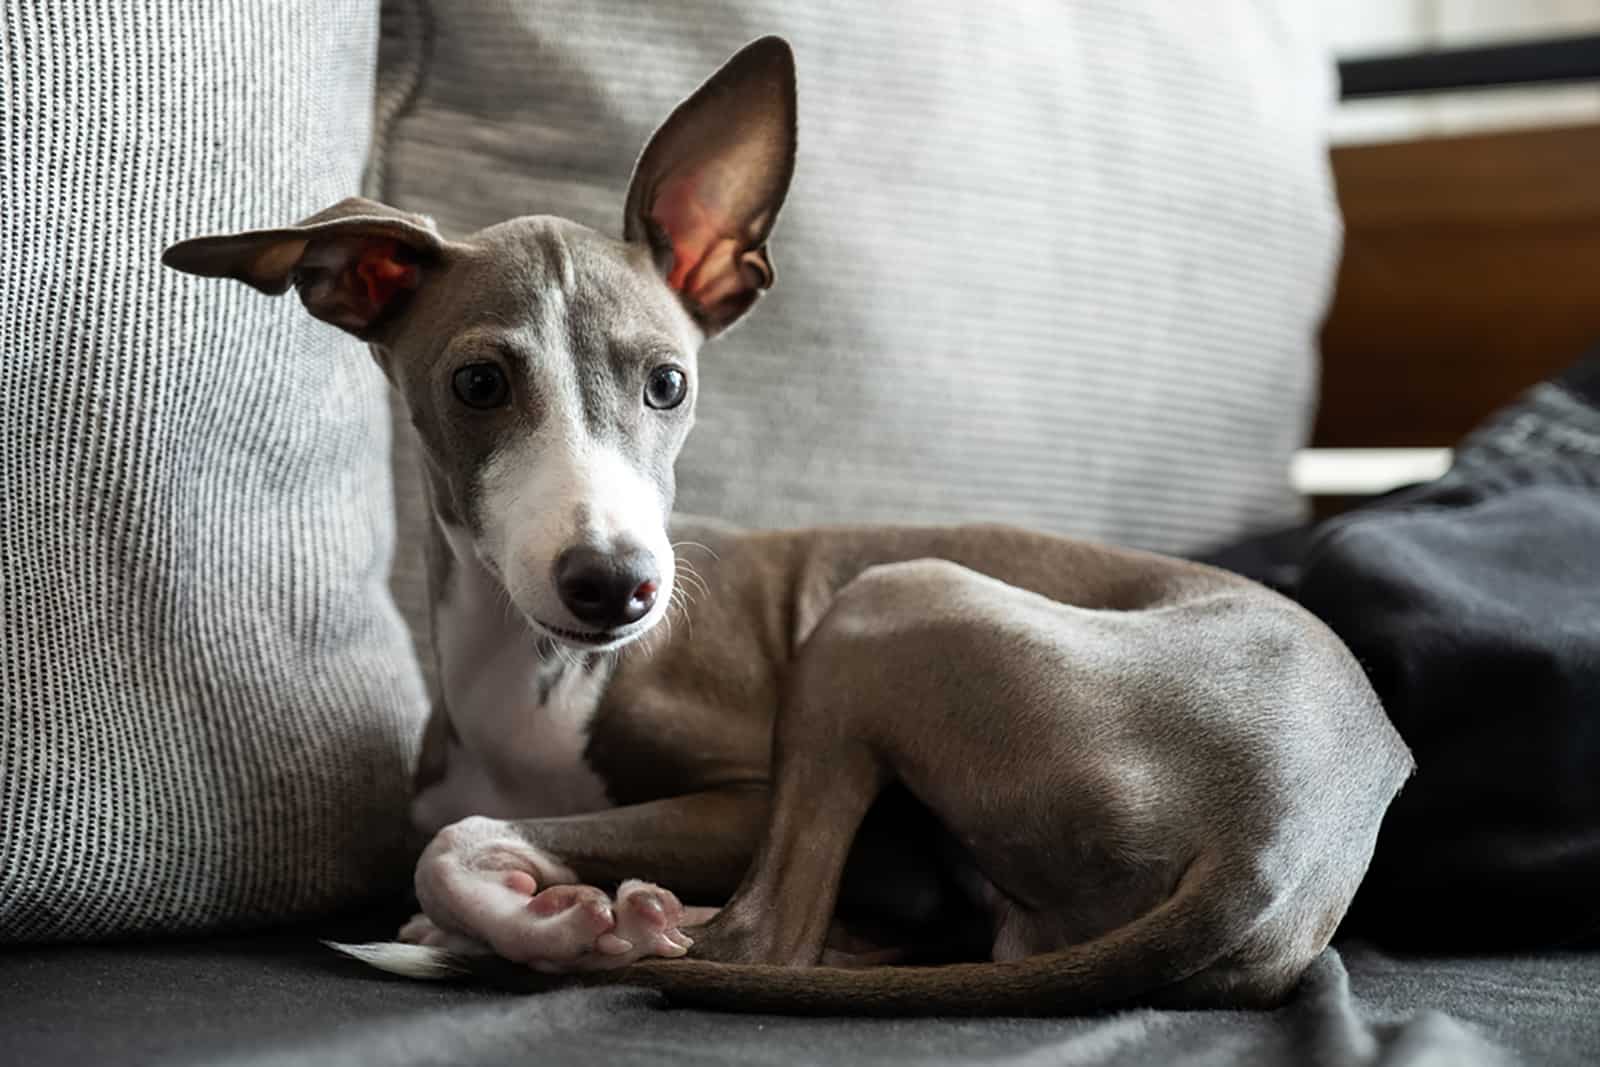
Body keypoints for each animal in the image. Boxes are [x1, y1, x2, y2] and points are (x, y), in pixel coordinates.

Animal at [165, 35, 1414, 1017]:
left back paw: (610, 923)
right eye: (478, 383)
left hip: (886, 598)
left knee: (760, 933)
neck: (528, 685)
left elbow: (455, 844)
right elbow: (454, 834)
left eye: (668, 382)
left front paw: (555, 916)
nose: (615, 584)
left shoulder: (742, 793)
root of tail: (1272, 847)